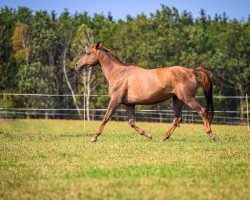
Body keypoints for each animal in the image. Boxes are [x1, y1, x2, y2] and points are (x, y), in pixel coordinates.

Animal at [74, 41, 217, 142]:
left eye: (88, 53)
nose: (76, 65)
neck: (119, 74)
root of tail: (191, 71)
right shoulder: (129, 104)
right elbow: (131, 122)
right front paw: (148, 134)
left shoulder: (115, 100)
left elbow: (106, 117)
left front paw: (94, 137)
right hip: (177, 99)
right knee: (177, 119)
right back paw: (163, 138)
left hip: (188, 98)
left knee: (202, 112)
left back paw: (212, 135)